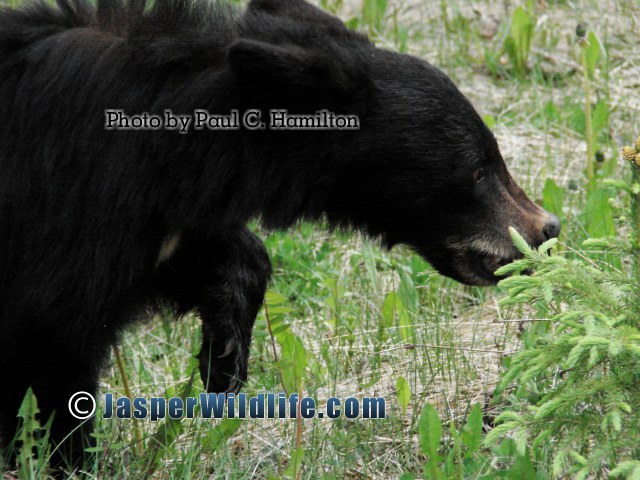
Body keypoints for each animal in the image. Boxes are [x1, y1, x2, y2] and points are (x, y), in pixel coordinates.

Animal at [0, 0, 560, 468]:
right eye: (478, 169)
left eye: (491, 155)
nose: (547, 228)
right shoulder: (70, 220)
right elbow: (55, 338)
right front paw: (67, 460)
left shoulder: (151, 226)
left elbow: (212, 256)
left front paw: (224, 353)